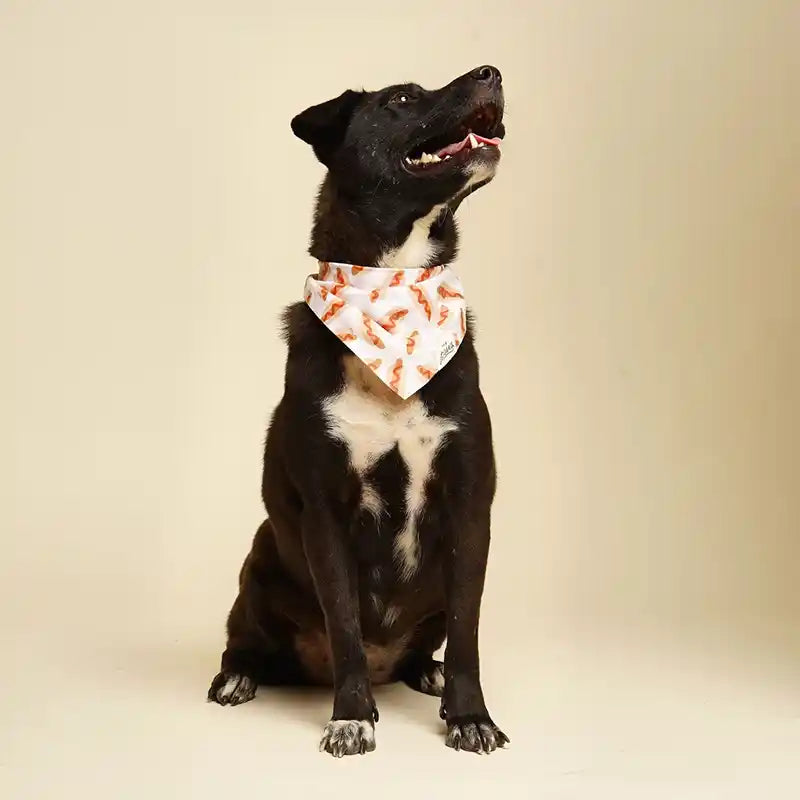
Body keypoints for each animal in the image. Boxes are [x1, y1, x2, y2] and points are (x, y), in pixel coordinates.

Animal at [206, 64, 506, 756]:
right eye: (402, 98)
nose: (493, 72)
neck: (391, 286)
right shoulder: (325, 514)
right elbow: (342, 621)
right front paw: (351, 717)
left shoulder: (470, 505)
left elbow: (468, 628)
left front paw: (470, 715)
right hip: (259, 566)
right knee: (245, 640)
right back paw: (237, 677)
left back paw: (426, 670)